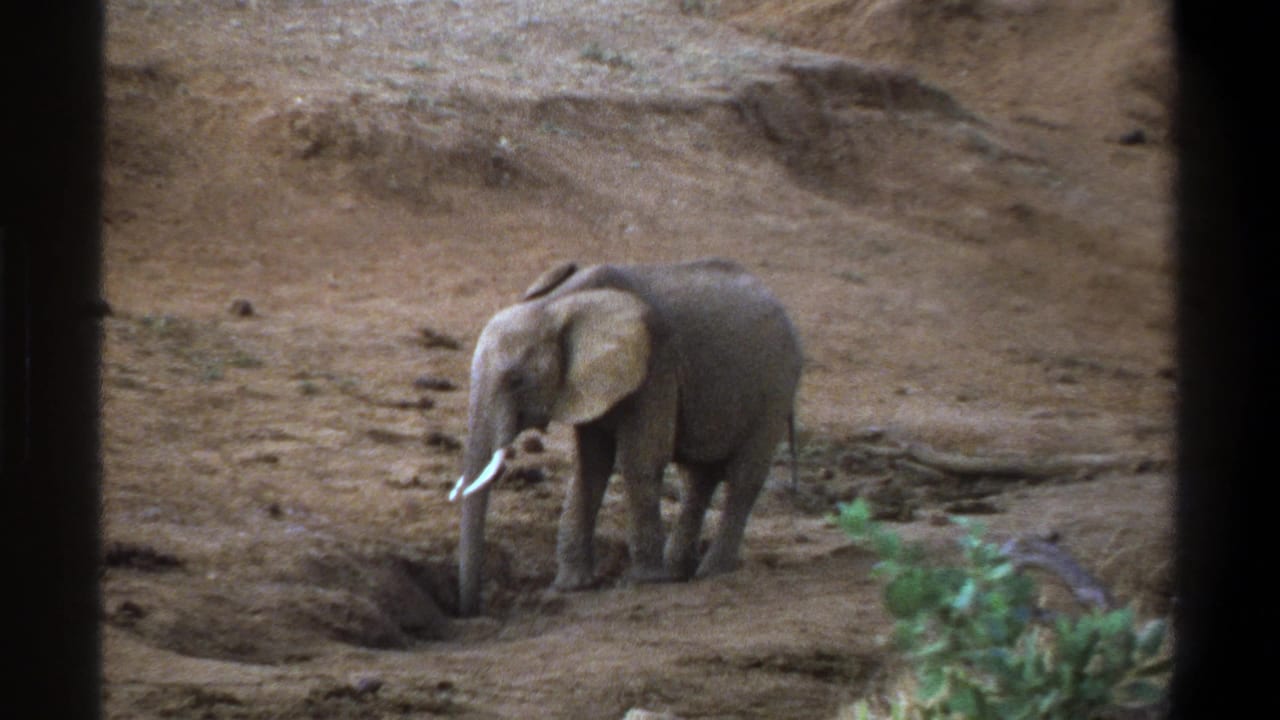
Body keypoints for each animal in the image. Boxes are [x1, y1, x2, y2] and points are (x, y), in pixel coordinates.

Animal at [448, 258, 802, 616]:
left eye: (517, 381)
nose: (472, 609)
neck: (556, 305)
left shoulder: (655, 365)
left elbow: (640, 460)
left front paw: (644, 581)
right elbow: (591, 467)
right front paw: (572, 587)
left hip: (776, 388)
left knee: (743, 478)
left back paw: (711, 572)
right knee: (698, 478)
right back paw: (679, 572)